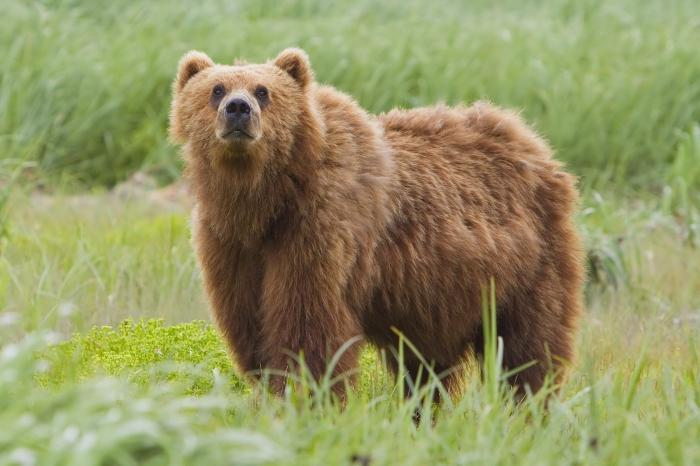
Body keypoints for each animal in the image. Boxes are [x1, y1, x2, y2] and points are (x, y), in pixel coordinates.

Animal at [168, 48, 584, 400]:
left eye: (263, 90)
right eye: (216, 89)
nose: (238, 109)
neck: (266, 202)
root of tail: (533, 143)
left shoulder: (319, 229)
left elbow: (309, 328)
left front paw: (307, 396)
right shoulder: (231, 245)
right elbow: (250, 324)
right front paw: (271, 389)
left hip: (527, 267)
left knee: (529, 348)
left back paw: (529, 406)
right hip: (438, 297)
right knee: (426, 368)